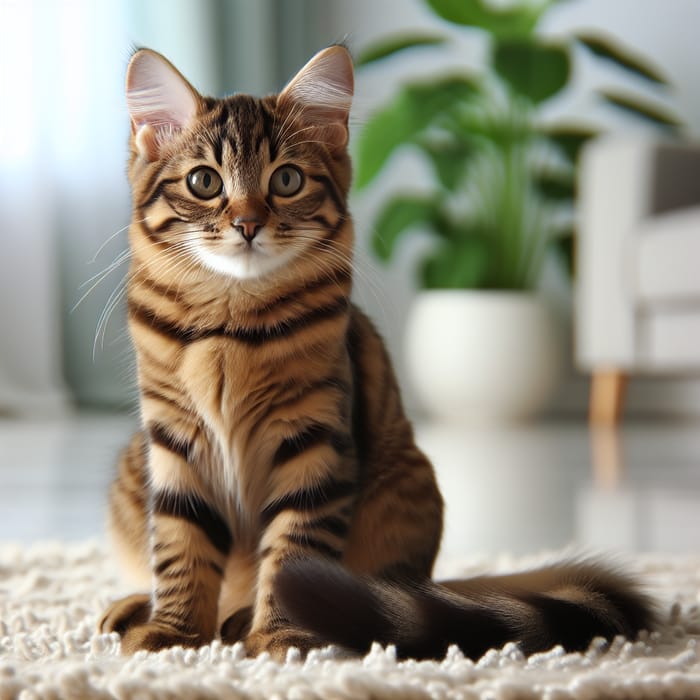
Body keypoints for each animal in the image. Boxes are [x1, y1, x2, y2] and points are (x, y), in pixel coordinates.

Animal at [100, 46, 656, 660]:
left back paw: (252, 617)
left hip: (407, 485)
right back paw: (141, 607)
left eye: (286, 179)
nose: (247, 224)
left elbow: (292, 552)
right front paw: (174, 634)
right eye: (204, 182)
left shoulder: (314, 440)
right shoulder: (174, 439)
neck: (229, 325)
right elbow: (182, 549)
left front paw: (279, 635)